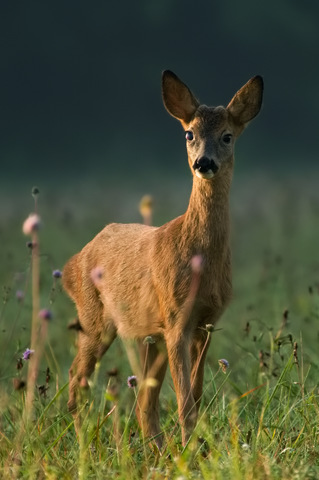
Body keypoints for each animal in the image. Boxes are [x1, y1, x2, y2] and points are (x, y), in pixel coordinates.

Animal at [62, 69, 262, 448]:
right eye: (189, 134)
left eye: (227, 136)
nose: (204, 163)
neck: (200, 260)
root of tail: (72, 263)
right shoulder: (176, 318)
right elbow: (184, 399)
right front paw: (190, 448)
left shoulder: (206, 322)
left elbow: (194, 394)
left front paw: (194, 446)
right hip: (95, 320)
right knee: (77, 380)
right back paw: (83, 442)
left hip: (147, 335)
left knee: (144, 399)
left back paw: (154, 448)